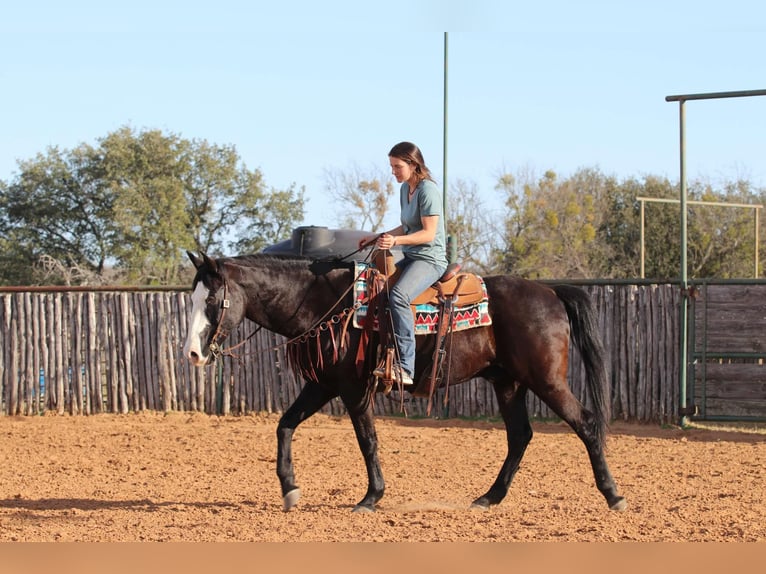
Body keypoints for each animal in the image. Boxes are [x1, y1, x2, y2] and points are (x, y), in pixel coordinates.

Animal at [183, 251, 627, 514]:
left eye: (212, 299)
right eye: (191, 297)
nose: (193, 354)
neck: (325, 303)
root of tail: (550, 291)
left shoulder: (353, 388)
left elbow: (367, 440)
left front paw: (371, 497)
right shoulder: (322, 384)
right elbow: (285, 425)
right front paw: (290, 489)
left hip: (546, 380)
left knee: (586, 424)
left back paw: (613, 494)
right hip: (508, 383)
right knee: (520, 436)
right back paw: (488, 497)